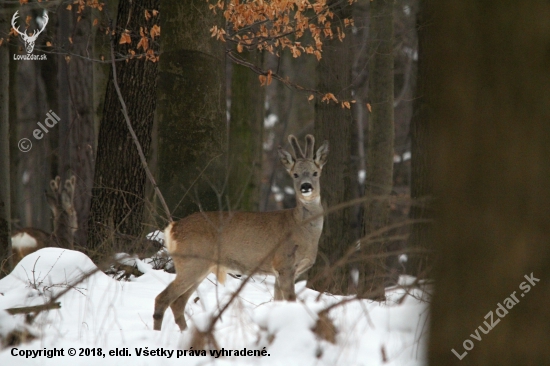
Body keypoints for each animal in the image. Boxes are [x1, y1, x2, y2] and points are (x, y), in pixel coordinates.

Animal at [153, 134, 330, 332]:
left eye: (315, 173)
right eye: (295, 174)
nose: (306, 187)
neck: (301, 228)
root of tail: (173, 227)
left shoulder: (280, 270)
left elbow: (278, 303)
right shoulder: (284, 263)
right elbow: (291, 301)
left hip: (199, 266)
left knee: (178, 303)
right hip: (191, 262)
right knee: (163, 298)